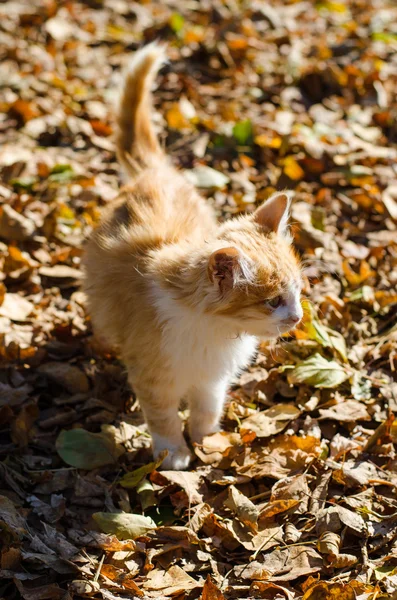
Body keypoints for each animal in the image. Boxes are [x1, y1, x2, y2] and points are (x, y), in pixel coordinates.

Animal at [82, 44, 302, 472]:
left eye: (299, 292)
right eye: (273, 302)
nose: (299, 317)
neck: (214, 331)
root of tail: (156, 172)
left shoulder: (212, 378)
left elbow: (207, 406)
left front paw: (206, 440)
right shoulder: (152, 372)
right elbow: (164, 416)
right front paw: (174, 455)